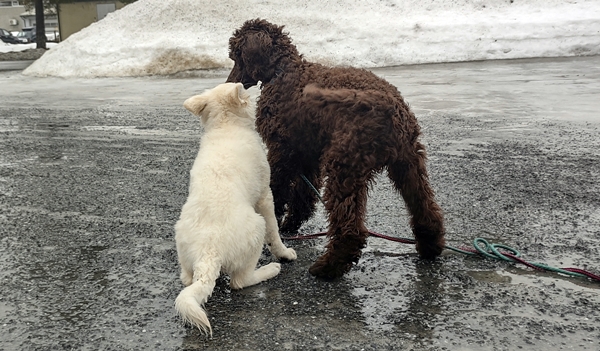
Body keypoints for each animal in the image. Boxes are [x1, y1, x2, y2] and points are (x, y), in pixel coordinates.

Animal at [173, 82, 296, 336]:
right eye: (247, 94)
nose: (258, 91)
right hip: (256, 227)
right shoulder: (265, 196)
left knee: (187, 279)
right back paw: (270, 269)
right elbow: (275, 232)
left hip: (182, 242)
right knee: (240, 281)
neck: (225, 125)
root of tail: (208, 253)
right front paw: (284, 252)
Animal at [225, 19, 446, 280]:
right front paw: (290, 225)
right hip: (408, 162)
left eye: (236, 55)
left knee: (351, 229)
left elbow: (277, 190)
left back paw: (328, 267)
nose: (229, 83)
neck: (284, 72)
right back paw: (430, 246)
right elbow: (303, 195)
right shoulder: (307, 153)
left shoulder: (282, 150)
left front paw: (276, 224)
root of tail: (388, 105)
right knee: (426, 208)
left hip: (346, 166)